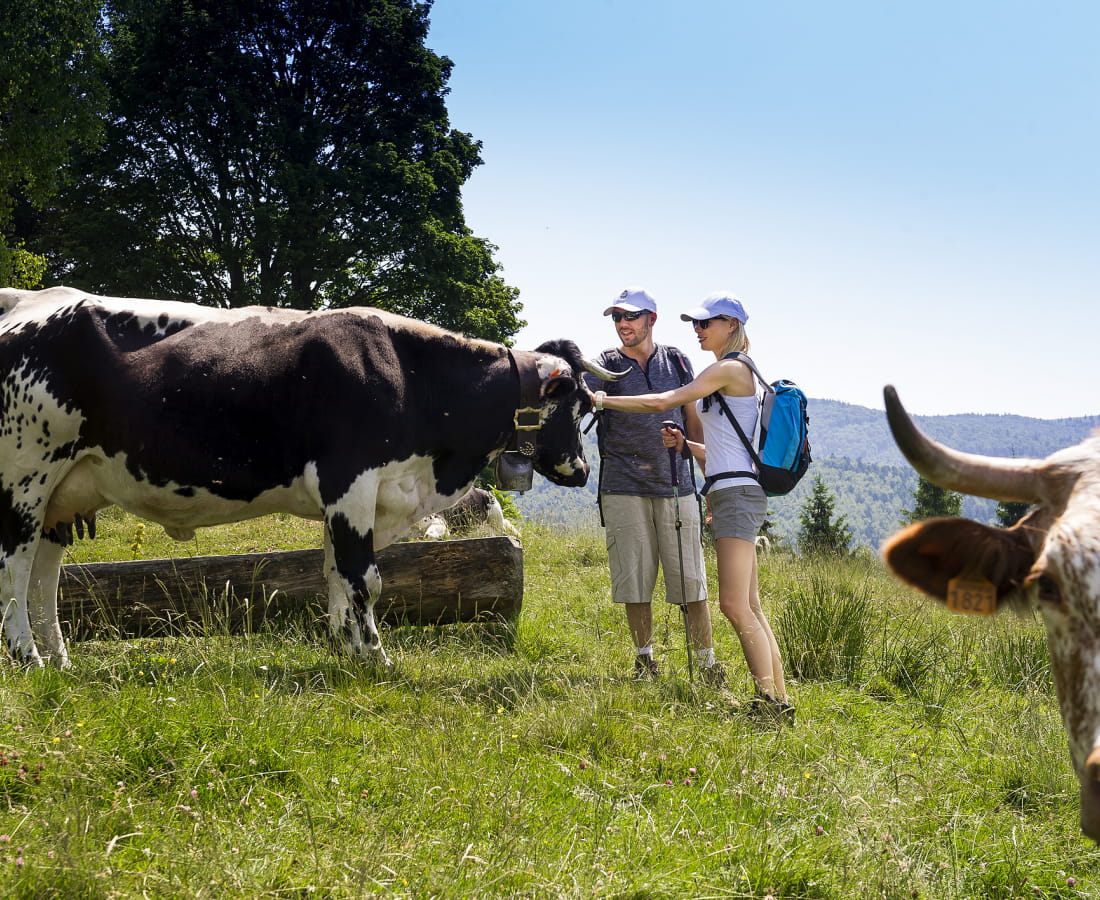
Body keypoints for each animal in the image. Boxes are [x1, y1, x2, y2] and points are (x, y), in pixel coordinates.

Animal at [0, 286, 622, 670]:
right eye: (576, 407)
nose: (582, 470)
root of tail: (31, 299)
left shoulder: (350, 500)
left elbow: (334, 573)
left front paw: (344, 649)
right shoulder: (352, 483)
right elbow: (364, 578)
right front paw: (375, 656)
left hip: (62, 492)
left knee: (45, 577)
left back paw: (60, 659)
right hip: (25, 475)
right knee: (15, 569)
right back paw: (29, 659)